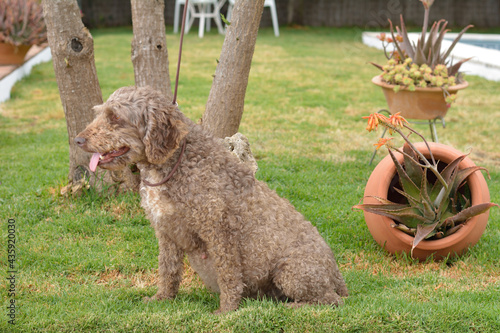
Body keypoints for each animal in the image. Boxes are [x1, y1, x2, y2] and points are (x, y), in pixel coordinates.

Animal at [76, 85, 348, 312]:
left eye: (115, 118)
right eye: (99, 114)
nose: (78, 140)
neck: (178, 163)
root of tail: (337, 273)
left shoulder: (219, 231)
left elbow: (228, 274)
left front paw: (227, 310)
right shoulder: (165, 231)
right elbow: (168, 269)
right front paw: (162, 298)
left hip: (290, 271)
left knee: (331, 301)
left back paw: (292, 306)